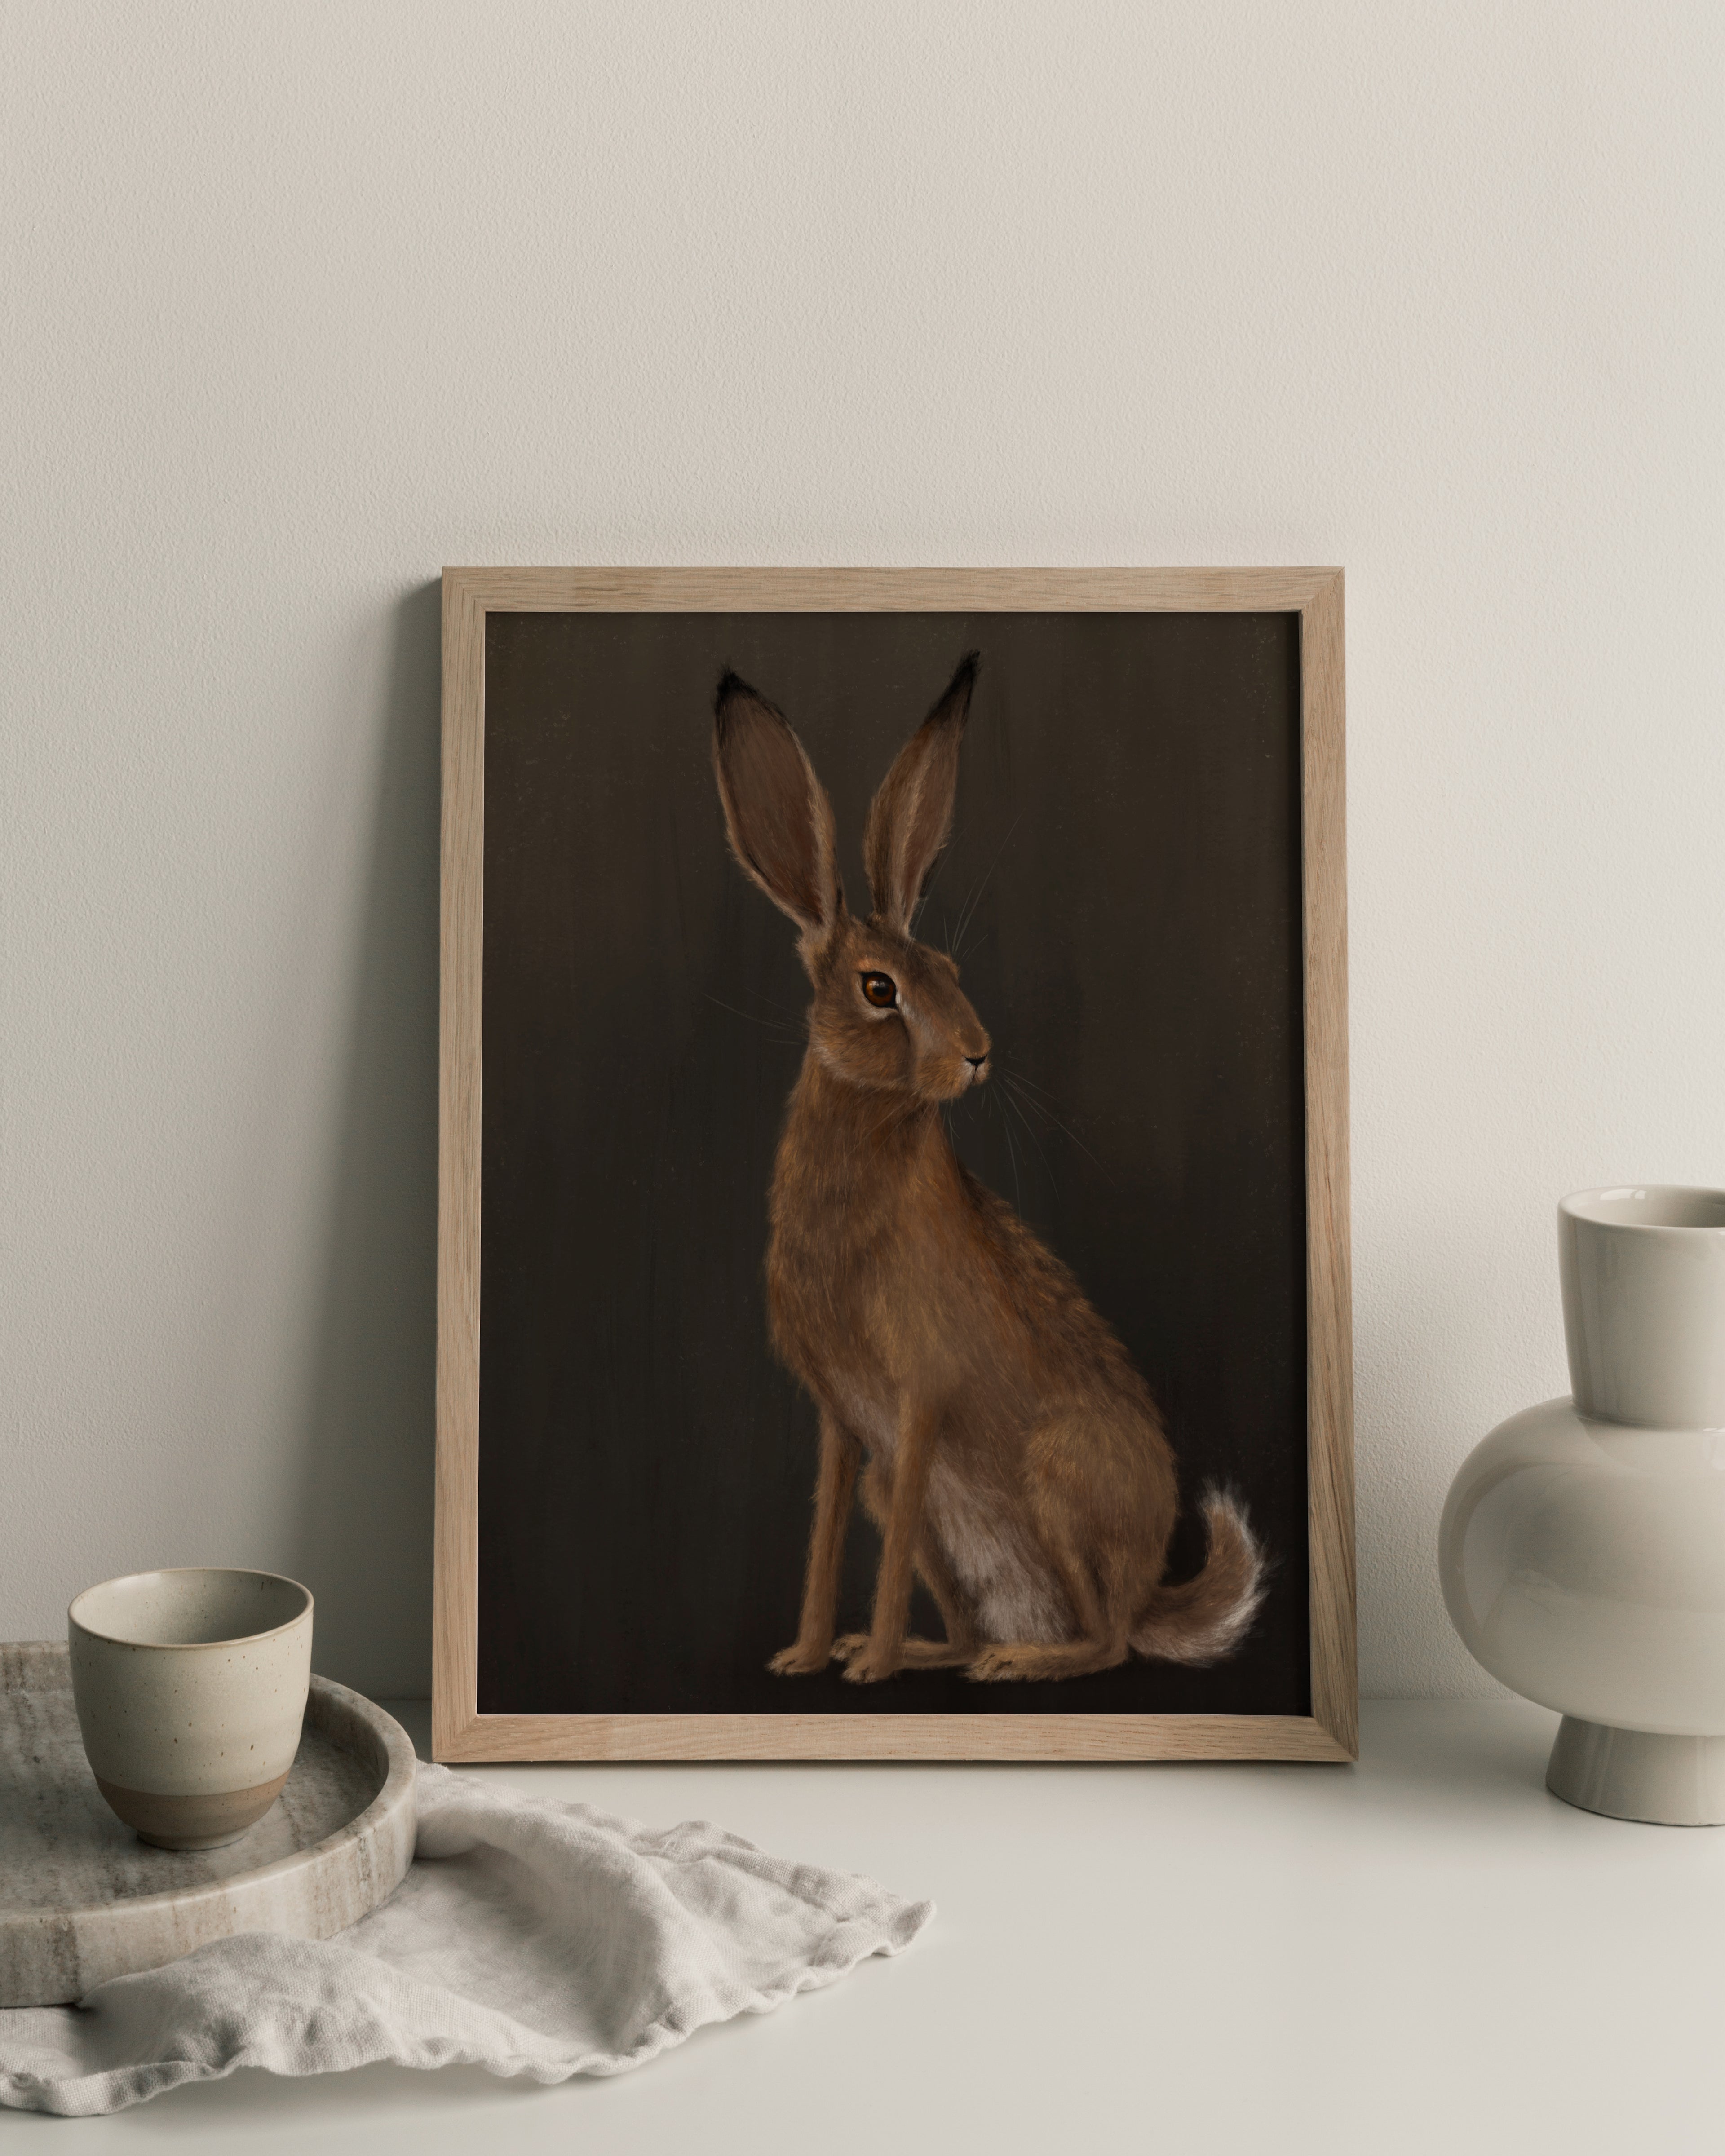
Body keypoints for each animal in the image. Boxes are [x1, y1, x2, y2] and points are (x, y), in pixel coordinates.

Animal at [712, 651, 1266, 1684]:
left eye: (952, 970)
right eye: (880, 988)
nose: (976, 1054)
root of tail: (1149, 1590)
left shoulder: (920, 1398)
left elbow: (881, 1551)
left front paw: (867, 1671)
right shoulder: (847, 1427)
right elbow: (826, 1538)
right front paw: (807, 1657)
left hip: (1058, 1478)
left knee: (1107, 1644)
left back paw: (1017, 1664)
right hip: (936, 1501)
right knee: (981, 1615)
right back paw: (932, 1651)